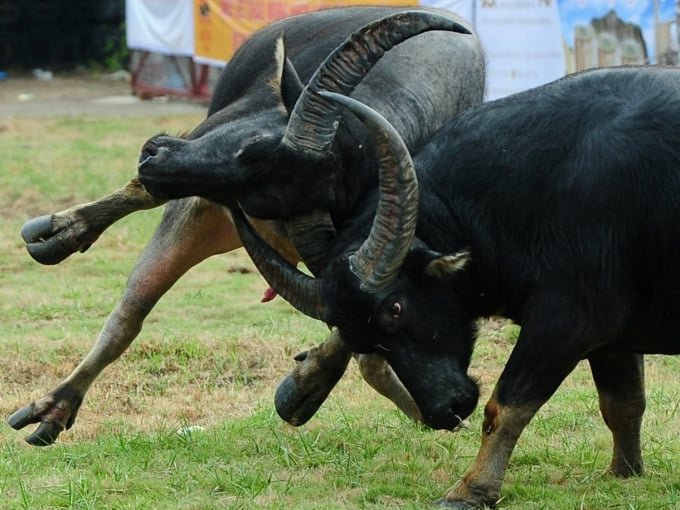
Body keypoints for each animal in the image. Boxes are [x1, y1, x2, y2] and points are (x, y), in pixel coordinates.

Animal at [7, 6, 486, 446]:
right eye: (251, 143)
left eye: (262, 191)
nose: (152, 154)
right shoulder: (200, 205)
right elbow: (131, 311)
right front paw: (55, 406)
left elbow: (357, 329)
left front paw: (308, 386)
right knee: (142, 201)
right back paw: (60, 231)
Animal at [226, 66, 680, 506]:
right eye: (358, 336)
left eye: (395, 308)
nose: (443, 411)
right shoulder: (611, 340)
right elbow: (622, 404)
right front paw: (623, 472)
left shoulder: (569, 321)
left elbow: (505, 406)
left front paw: (470, 490)